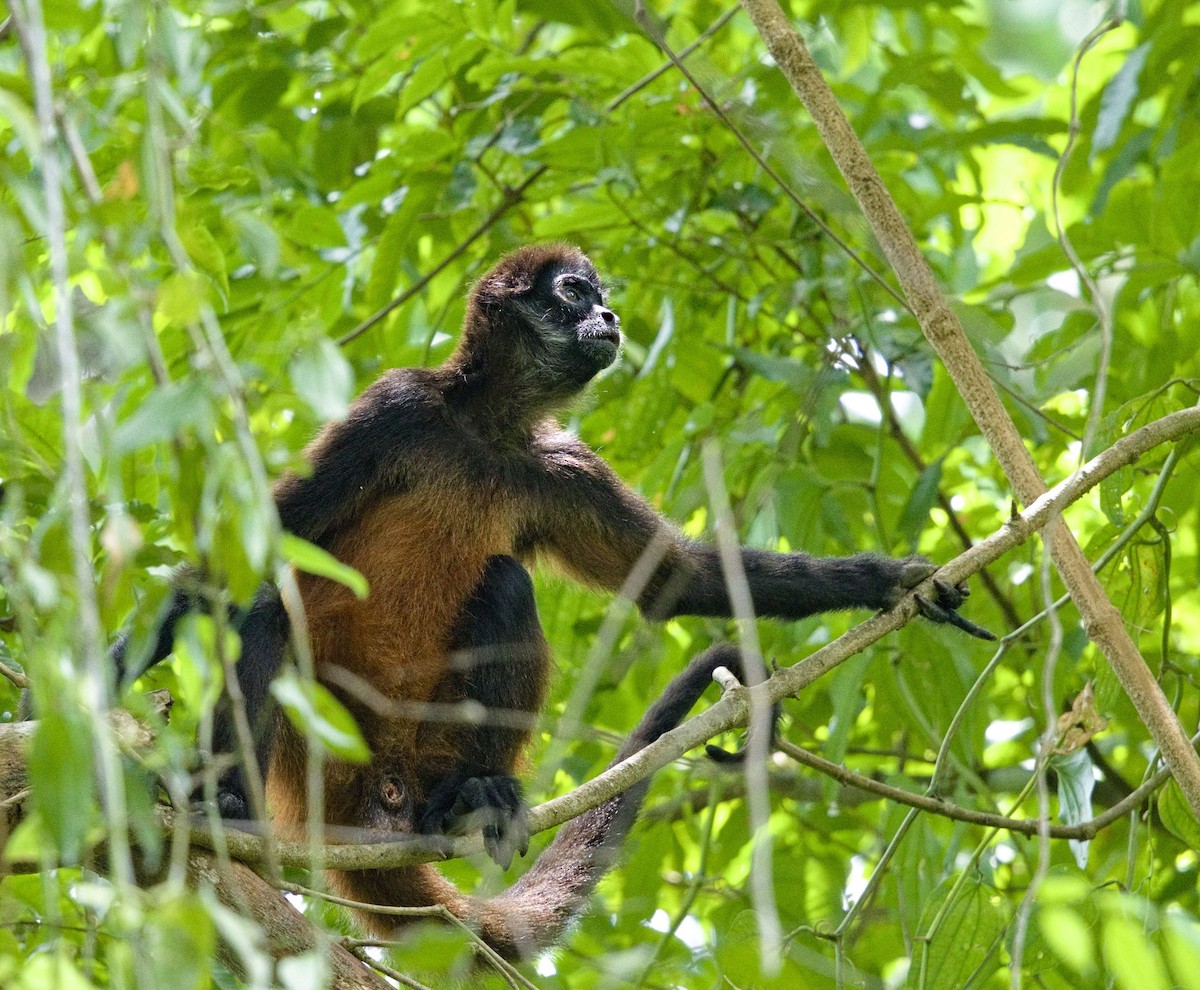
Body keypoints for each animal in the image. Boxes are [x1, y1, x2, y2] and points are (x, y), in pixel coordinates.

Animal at [113, 243, 991, 958]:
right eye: (575, 292)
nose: (610, 316)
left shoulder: (563, 467)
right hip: (319, 744)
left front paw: (889, 580)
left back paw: (471, 799)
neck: (486, 430)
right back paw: (232, 806)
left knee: (506, 582)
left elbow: (678, 579)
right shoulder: (393, 409)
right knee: (266, 607)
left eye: (601, 296)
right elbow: (237, 567)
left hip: (431, 740)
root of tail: (377, 799)